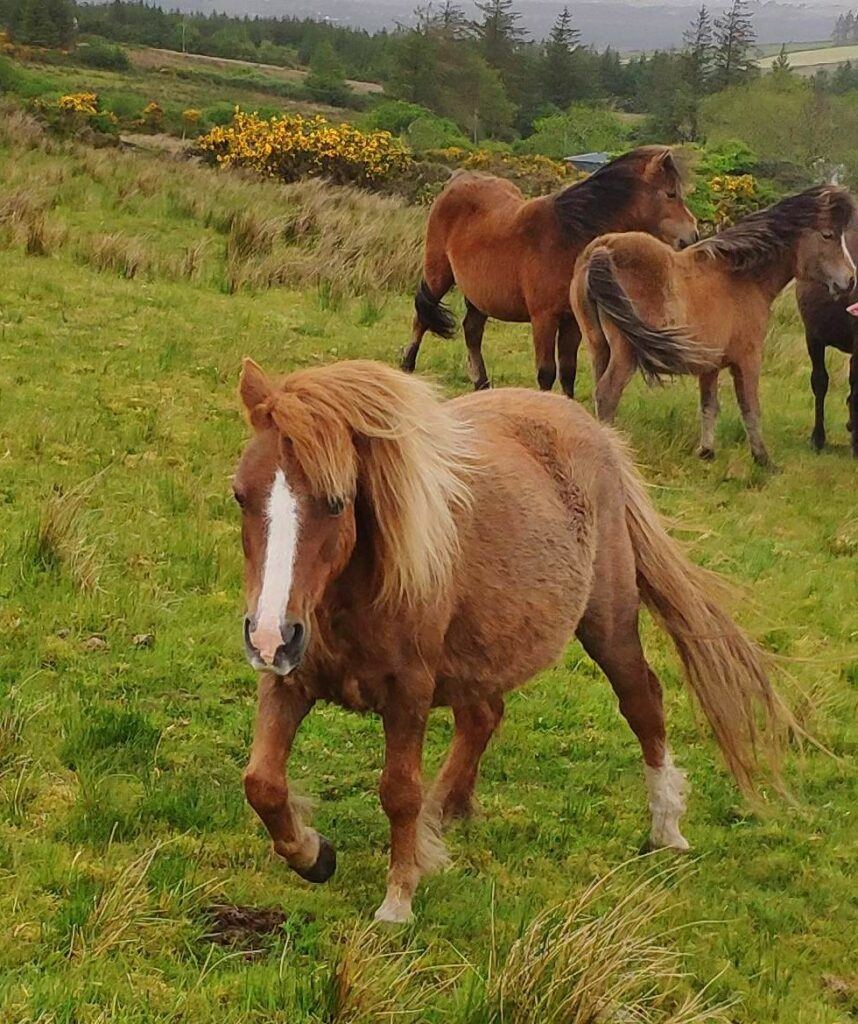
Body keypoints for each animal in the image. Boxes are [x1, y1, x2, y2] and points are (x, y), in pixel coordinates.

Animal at [231, 358, 790, 921]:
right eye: (240, 494)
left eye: (335, 503)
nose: (269, 634)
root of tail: (596, 432)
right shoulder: (288, 680)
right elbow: (262, 784)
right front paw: (315, 854)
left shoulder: (408, 692)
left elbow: (399, 791)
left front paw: (398, 899)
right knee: (483, 716)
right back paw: (444, 815)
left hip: (609, 623)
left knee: (643, 702)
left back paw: (666, 827)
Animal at [403, 144, 700, 395]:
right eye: (671, 193)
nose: (692, 235)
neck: (567, 236)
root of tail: (457, 180)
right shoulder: (543, 319)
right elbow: (546, 373)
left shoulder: (571, 322)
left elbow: (568, 371)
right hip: (437, 274)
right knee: (422, 317)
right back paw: (407, 366)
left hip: (479, 296)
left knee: (472, 332)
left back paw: (482, 384)